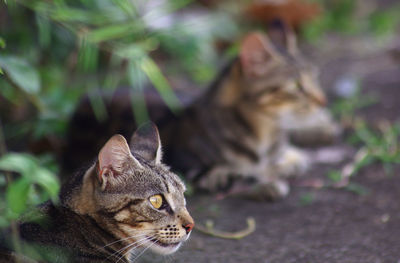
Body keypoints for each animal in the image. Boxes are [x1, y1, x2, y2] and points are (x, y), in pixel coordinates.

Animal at [63, 24, 338, 200]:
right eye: (297, 86)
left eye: (315, 78)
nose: (323, 100)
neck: (266, 135)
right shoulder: (196, 171)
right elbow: (243, 174)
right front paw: (269, 183)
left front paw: (292, 156)